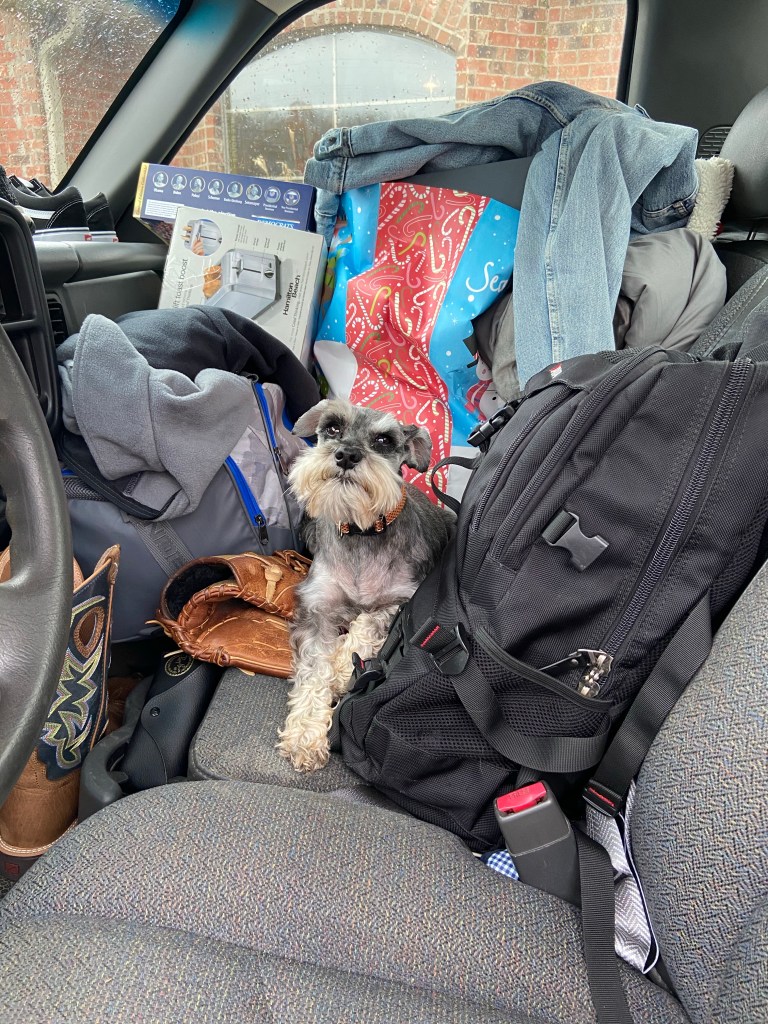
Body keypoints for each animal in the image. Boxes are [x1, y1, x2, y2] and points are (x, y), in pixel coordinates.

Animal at [277, 398, 455, 772]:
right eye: (332, 428)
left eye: (384, 440)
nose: (346, 455)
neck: (361, 533)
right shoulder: (316, 608)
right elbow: (314, 670)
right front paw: (304, 735)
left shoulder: (401, 599)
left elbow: (366, 623)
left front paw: (342, 670)